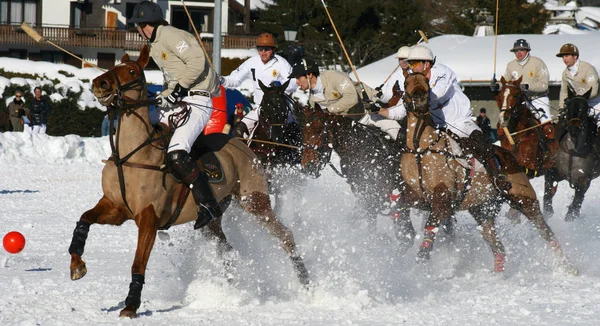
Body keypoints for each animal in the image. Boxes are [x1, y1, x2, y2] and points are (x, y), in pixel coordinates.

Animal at [68, 44, 308, 318]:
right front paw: (77, 265)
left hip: (255, 201)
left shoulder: (148, 218)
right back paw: (235, 289)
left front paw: (130, 305)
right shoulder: (115, 207)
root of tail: (245, 146)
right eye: (115, 66)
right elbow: (84, 219)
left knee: (285, 235)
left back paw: (305, 281)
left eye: (131, 71)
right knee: (227, 249)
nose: (100, 83)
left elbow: (138, 262)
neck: (131, 155)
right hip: (213, 219)